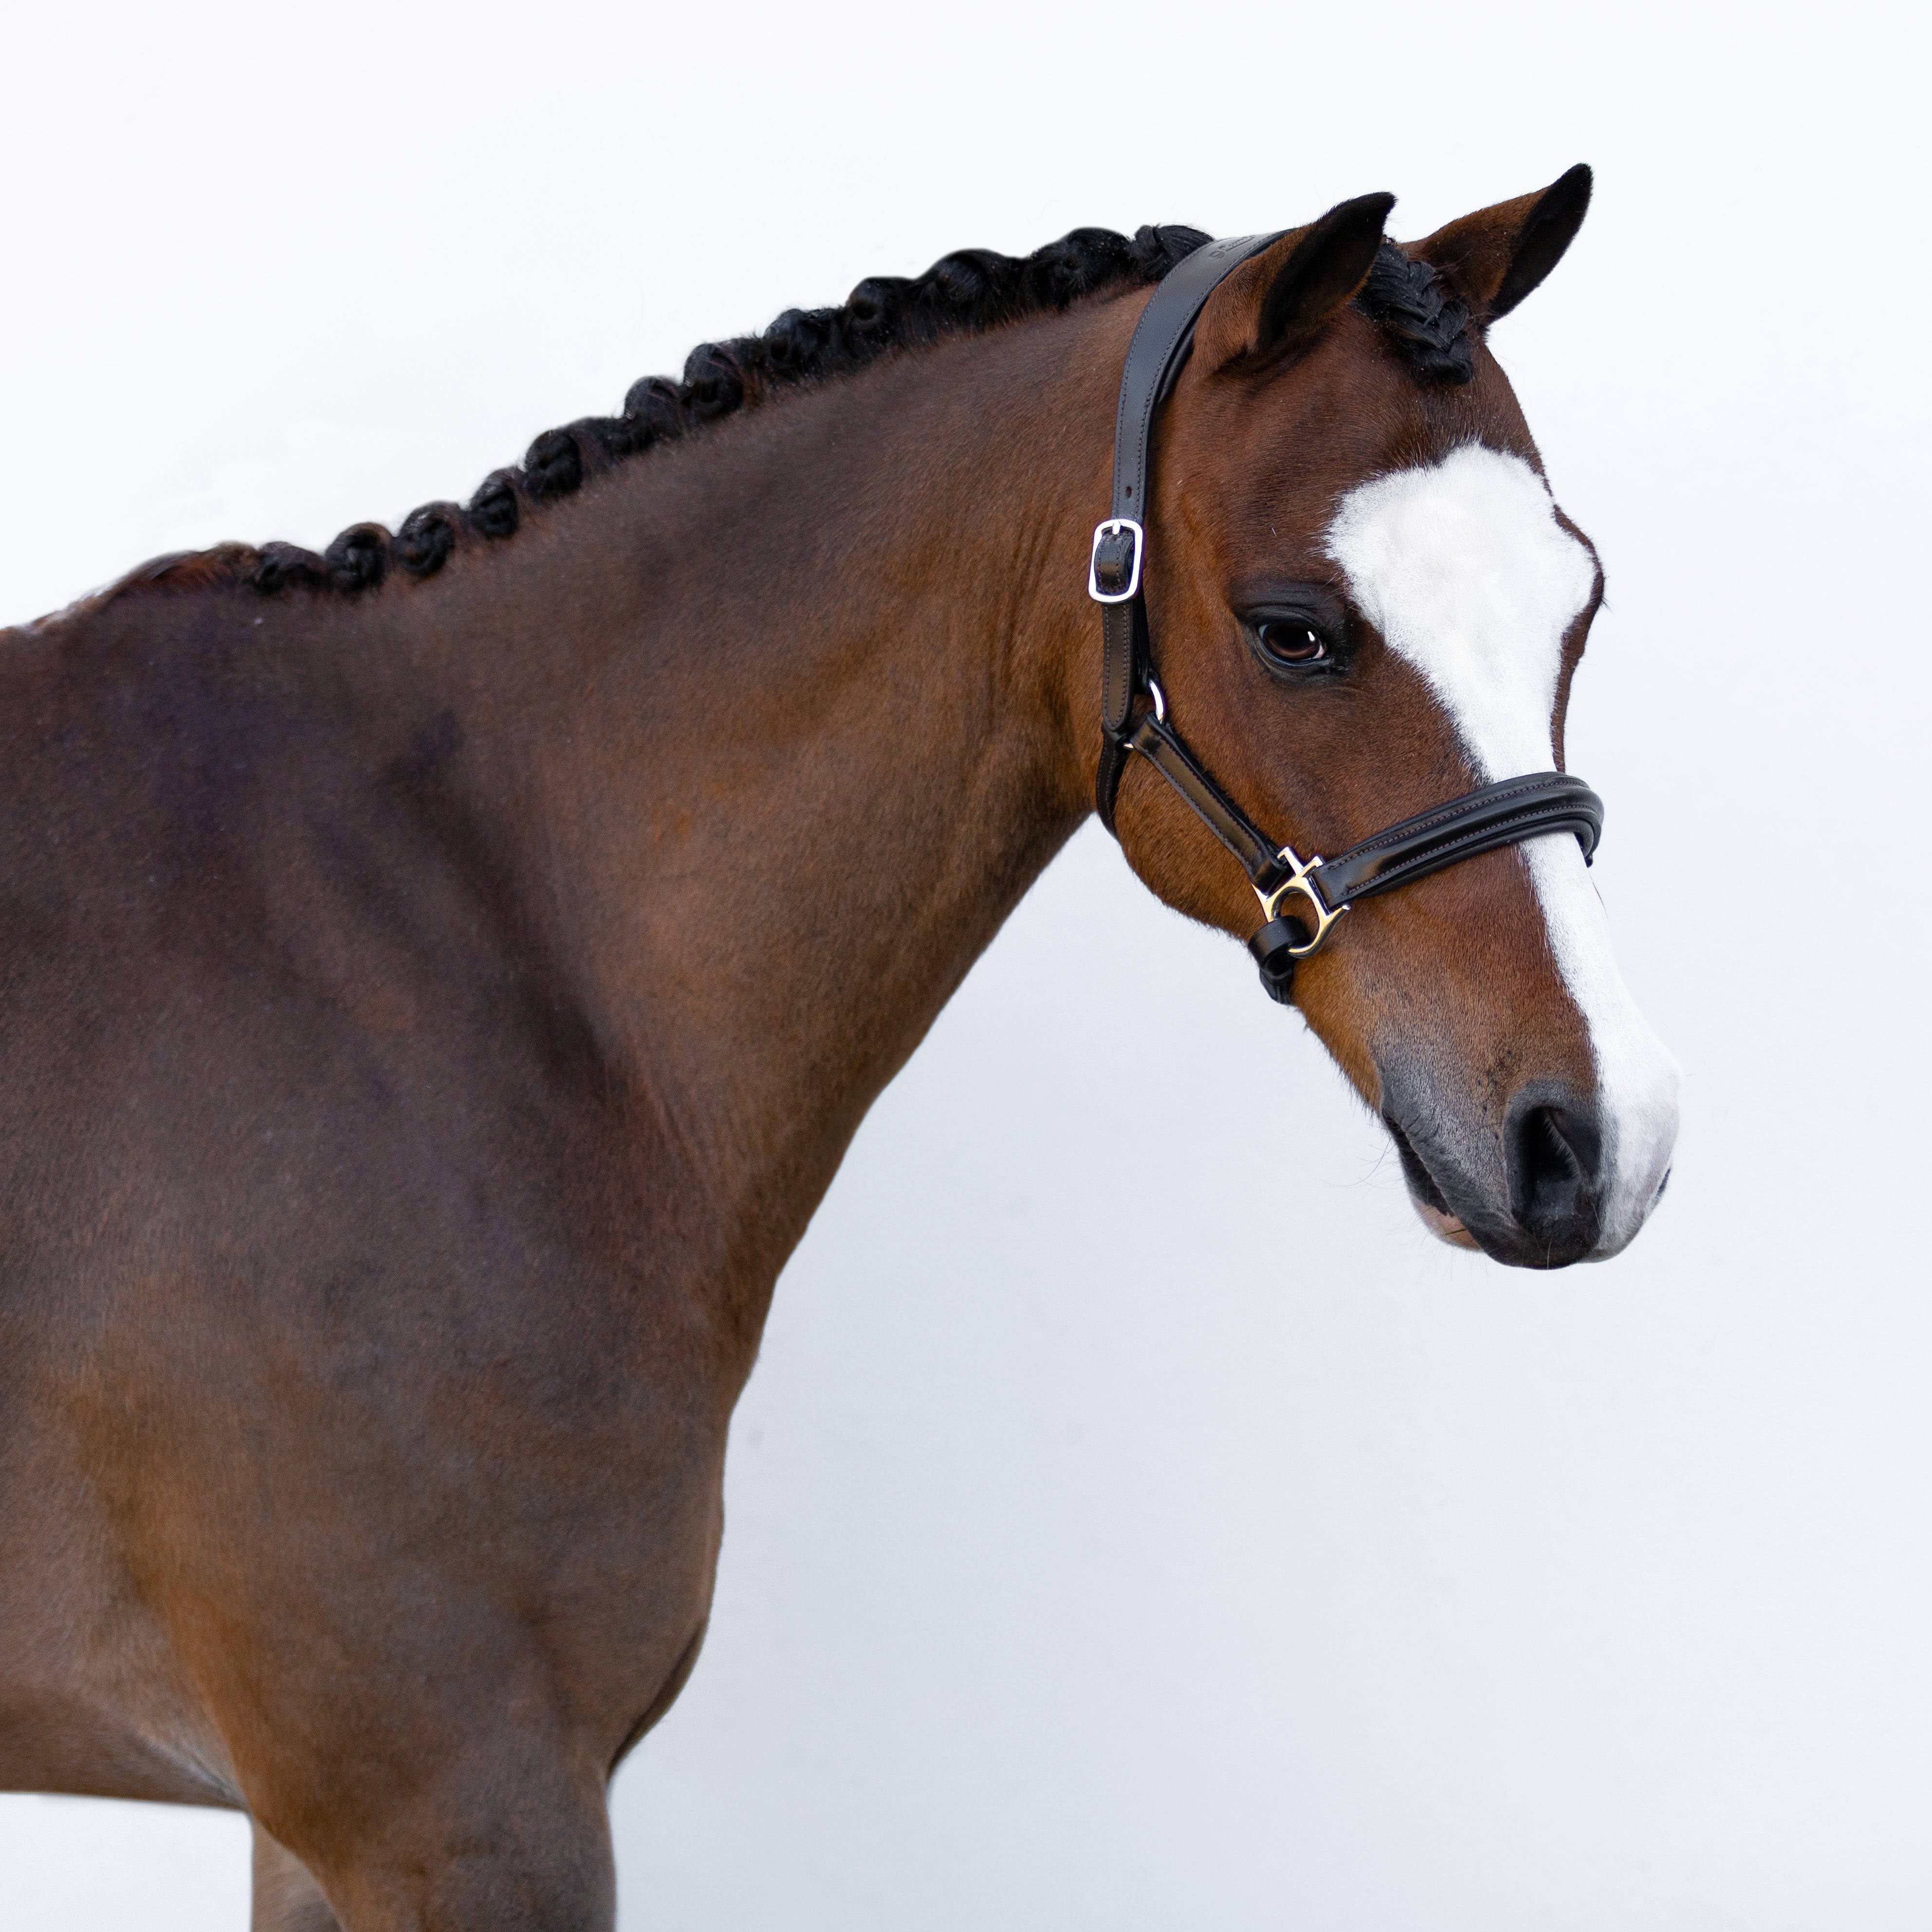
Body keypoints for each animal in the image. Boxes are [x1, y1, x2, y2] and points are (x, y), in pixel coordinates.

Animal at [0, 168, 1679, 1930]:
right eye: (1291, 631)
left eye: (1575, 598)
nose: (1598, 1136)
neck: (472, 947)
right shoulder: (446, 1809)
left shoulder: (336, 1823)